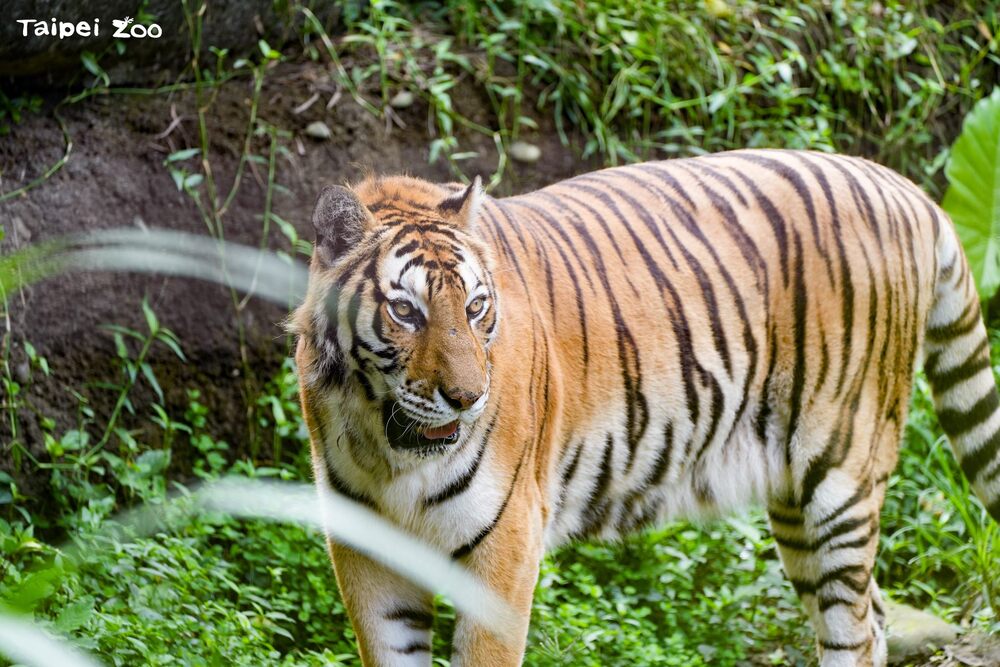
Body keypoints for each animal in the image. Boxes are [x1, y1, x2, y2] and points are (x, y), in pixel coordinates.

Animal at [288, 149, 1000, 664]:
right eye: (406, 311)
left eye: (476, 307)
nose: (466, 397)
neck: (389, 449)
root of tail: (902, 186)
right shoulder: (365, 551)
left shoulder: (506, 544)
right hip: (795, 503)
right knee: (871, 617)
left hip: (841, 475)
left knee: (854, 628)